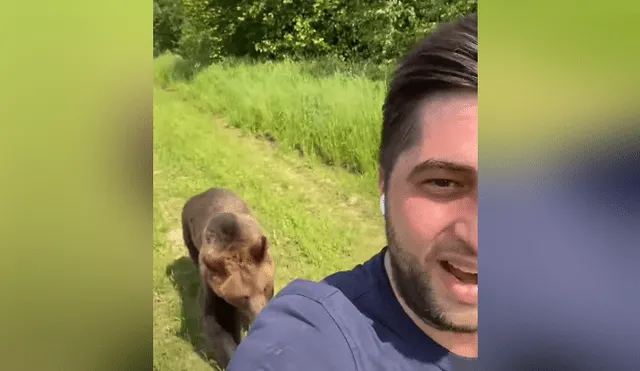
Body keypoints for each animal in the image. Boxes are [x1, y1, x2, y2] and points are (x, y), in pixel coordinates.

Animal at [180, 189, 276, 370]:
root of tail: (204, 192)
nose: (259, 312)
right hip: (187, 230)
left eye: (265, 288)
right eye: (243, 296)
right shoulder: (213, 288)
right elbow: (218, 322)